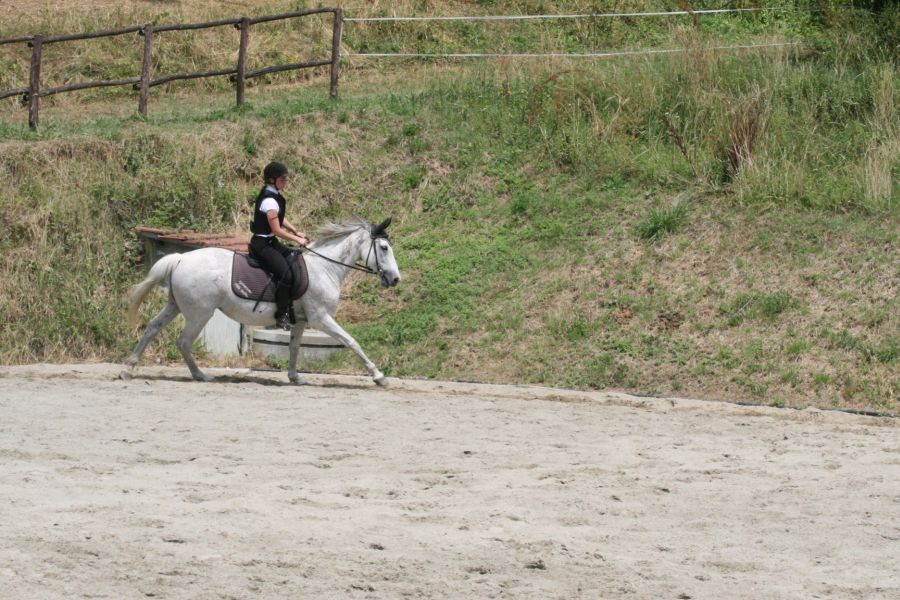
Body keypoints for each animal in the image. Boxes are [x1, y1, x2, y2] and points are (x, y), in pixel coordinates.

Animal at [124, 218, 400, 386]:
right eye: (384, 248)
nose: (396, 279)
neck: (324, 268)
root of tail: (181, 258)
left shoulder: (301, 321)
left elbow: (294, 347)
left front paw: (294, 377)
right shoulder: (321, 318)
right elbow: (351, 341)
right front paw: (379, 376)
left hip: (176, 306)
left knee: (152, 328)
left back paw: (128, 368)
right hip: (199, 313)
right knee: (183, 341)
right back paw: (201, 375)